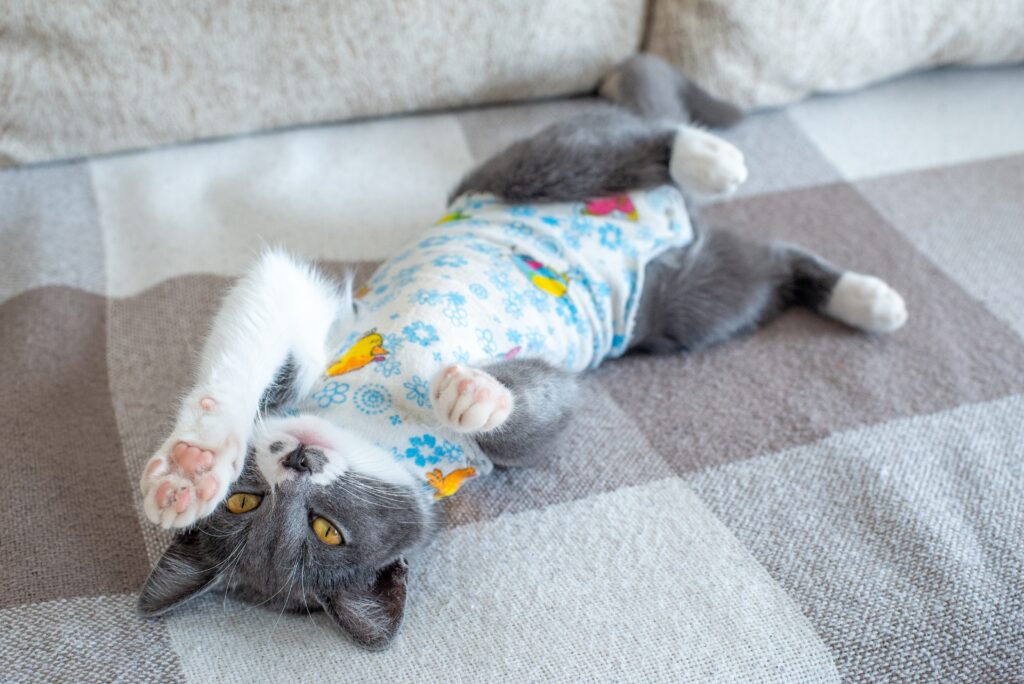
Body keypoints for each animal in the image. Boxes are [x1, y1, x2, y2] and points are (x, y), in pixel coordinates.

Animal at [134, 56, 905, 651]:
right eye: (267, 511)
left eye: (325, 529)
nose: (297, 460)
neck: (368, 427)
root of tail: (669, 223)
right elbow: (550, 408)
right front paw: (477, 394)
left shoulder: (338, 333)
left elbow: (263, 306)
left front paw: (191, 465)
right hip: (685, 302)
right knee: (765, 268)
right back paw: (863, 298)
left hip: (514, 176)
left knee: (598, 148)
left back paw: (706, 157)